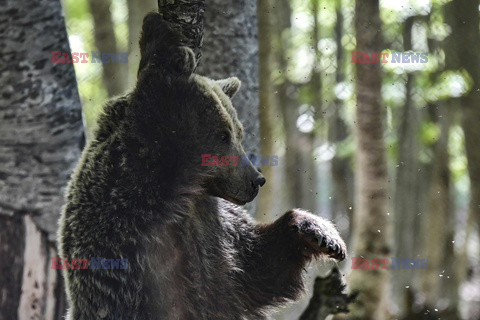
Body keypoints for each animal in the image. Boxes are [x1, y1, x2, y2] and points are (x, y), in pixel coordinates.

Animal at [58, 12, 346, 320]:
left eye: (239, 132)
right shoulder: (126, 237)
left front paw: (323, 235)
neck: (181, 192)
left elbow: (257, 266)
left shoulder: (215, 230)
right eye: (223, 135)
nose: (256, 179)